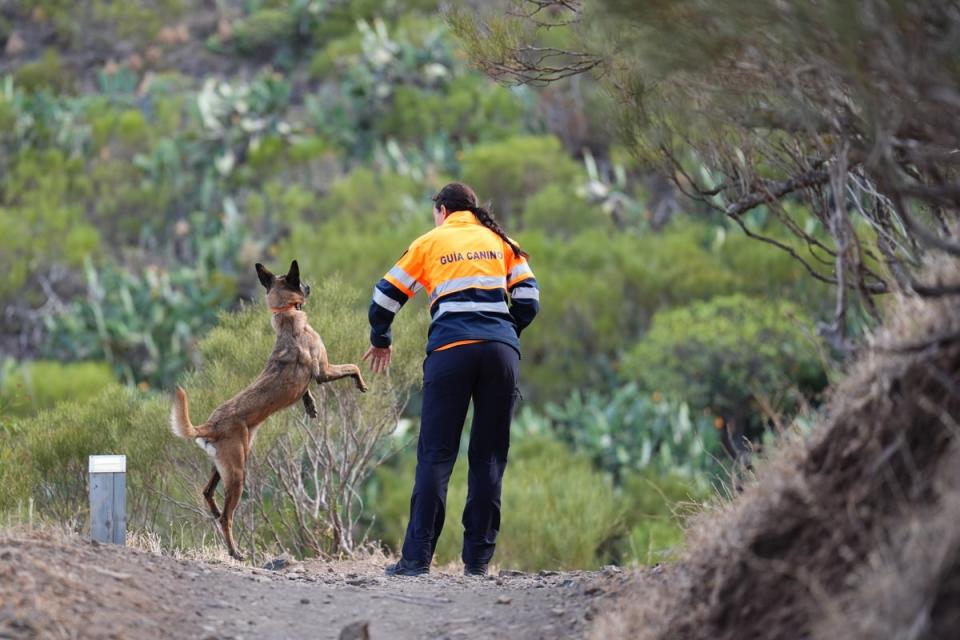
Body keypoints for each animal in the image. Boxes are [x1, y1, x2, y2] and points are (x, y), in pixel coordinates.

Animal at [169, 260, 368, 560]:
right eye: (300, 280)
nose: (309, 285)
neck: (286, 315)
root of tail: (210, 424)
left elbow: (305, 391)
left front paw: (310, 405)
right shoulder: (324, 371)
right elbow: (352, 366)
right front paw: (360, 382)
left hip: (224, 465)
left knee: (207, 492)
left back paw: (214, 512)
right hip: (238, 474)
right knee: (227, 517)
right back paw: (235, 551)